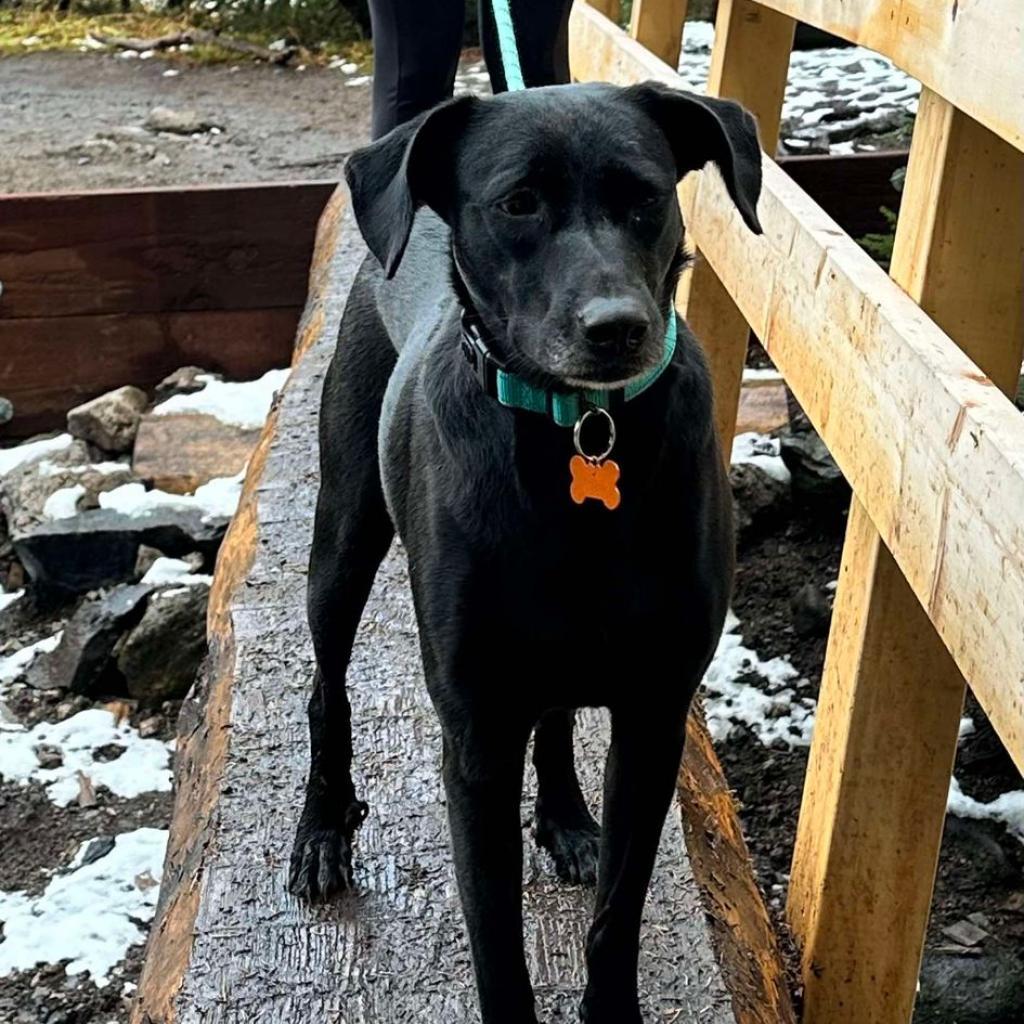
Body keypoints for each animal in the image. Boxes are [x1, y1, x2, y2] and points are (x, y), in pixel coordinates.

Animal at [288, 81, 761, 1024]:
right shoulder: (476, 736)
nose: (618, 329)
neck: (583, 431)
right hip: (344, 537)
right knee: (328, 689)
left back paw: (568, 816)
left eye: (646, 196)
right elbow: (495, 937)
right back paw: (321, 830)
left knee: (558, 715)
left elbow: (619, 910)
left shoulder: (653, 714)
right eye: (516, 204)